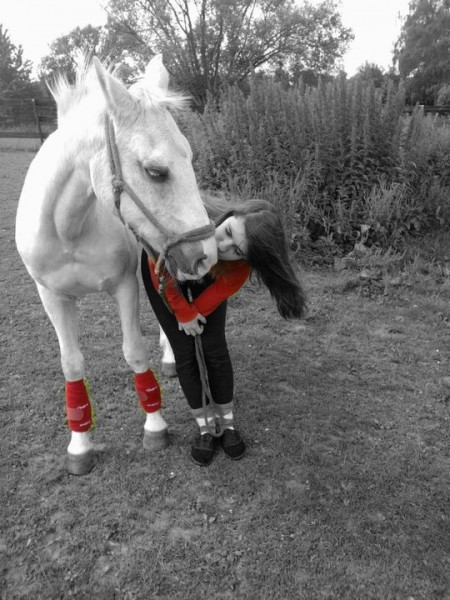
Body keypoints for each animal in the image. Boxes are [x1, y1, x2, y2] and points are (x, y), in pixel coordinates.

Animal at [15, 55, 217, 475]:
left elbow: (135, 352)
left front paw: (154, 426)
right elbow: (72, 364)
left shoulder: (125, 285)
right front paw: (80, 446)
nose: (206, 255)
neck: (70, 228)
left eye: (190, 158)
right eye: (156, 171)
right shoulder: (51, 297)